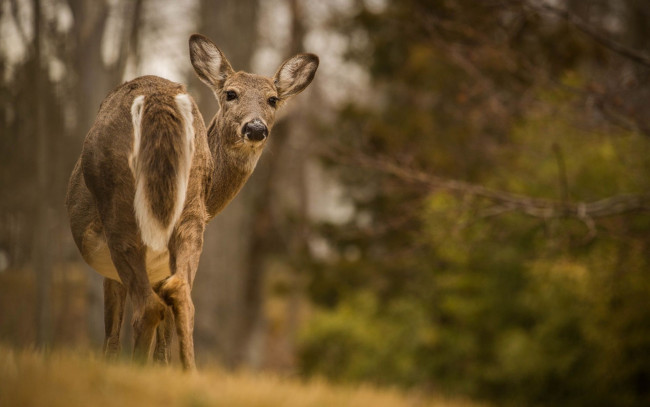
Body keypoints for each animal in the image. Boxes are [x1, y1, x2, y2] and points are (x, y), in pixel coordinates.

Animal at [64, 35, 318, 372]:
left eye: (273, 99)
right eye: (231, 93)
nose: (255, 128)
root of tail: (159, 101)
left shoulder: (112, 268)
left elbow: (113, 335)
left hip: (119, 205)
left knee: (147, 307)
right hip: (189, 206)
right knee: (179, 292)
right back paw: (189, 373)